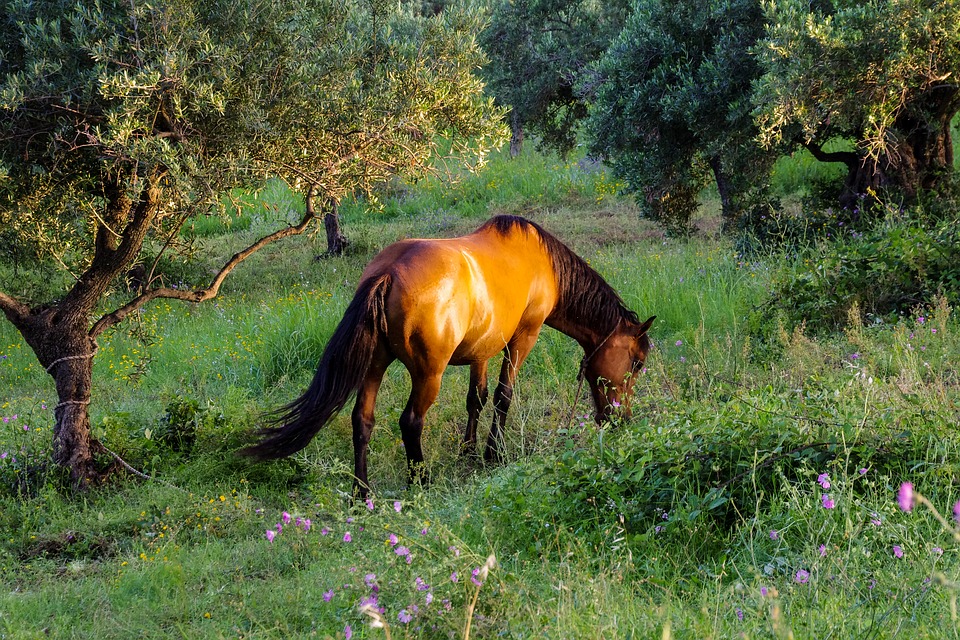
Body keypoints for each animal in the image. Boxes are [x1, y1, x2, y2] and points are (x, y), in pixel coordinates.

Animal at [245, 215, 655, 497]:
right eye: (636, 362)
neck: (543, 265)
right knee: (411, 422)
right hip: (429, 373)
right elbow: (503, 396)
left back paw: (362, 494)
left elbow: (477, 398)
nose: (620, 420)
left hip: (375, 364)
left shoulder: (483, 349)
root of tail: (388, 272)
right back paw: (420, 482)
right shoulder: (522, 338)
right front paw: (493, 453)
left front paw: (469, 451)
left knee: (362, 420)